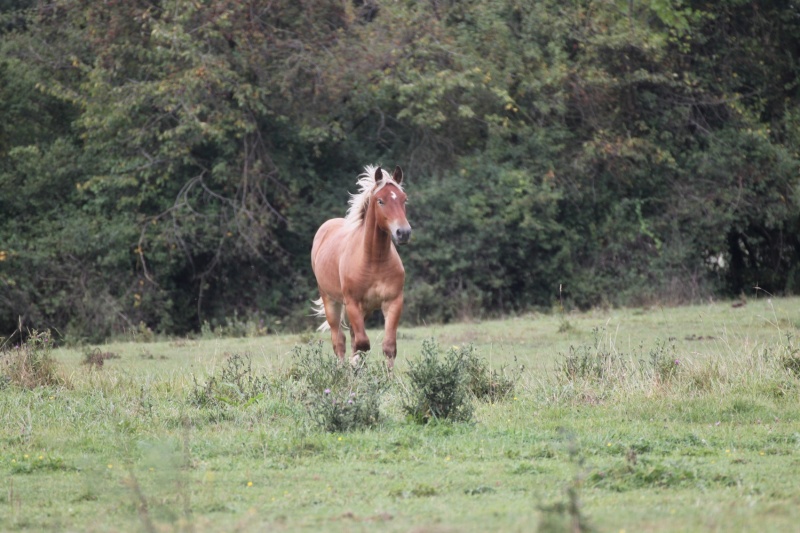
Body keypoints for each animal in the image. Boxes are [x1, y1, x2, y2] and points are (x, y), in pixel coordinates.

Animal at [310, 164, 412, 368]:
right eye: (380, 201)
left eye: (404, 199)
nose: (403, 232)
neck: (374, 260)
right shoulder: (352, 303)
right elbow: (362, 344)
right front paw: (353, 368)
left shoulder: (393, 302)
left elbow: (388, 347)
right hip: (330, 301)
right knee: (339, 341)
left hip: (364, 310)